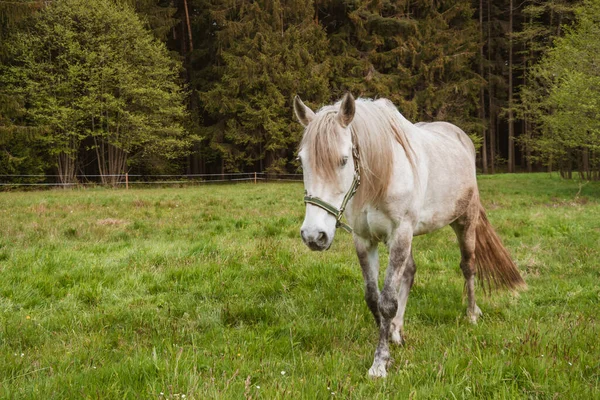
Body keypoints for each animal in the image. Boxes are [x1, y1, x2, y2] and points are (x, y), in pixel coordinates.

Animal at [294, 93, 524, 378]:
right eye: (301, 161)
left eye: (344, 159)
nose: (314, 235)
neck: (382, 175)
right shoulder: (364, 239)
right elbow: (374, 298)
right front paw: (390, 337)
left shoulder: (400, 233)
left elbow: (387, 301)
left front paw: (380, 363)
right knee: (410, 272)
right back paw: (398, 329)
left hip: (464, 222)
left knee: (468, 266)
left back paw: (471, 314)